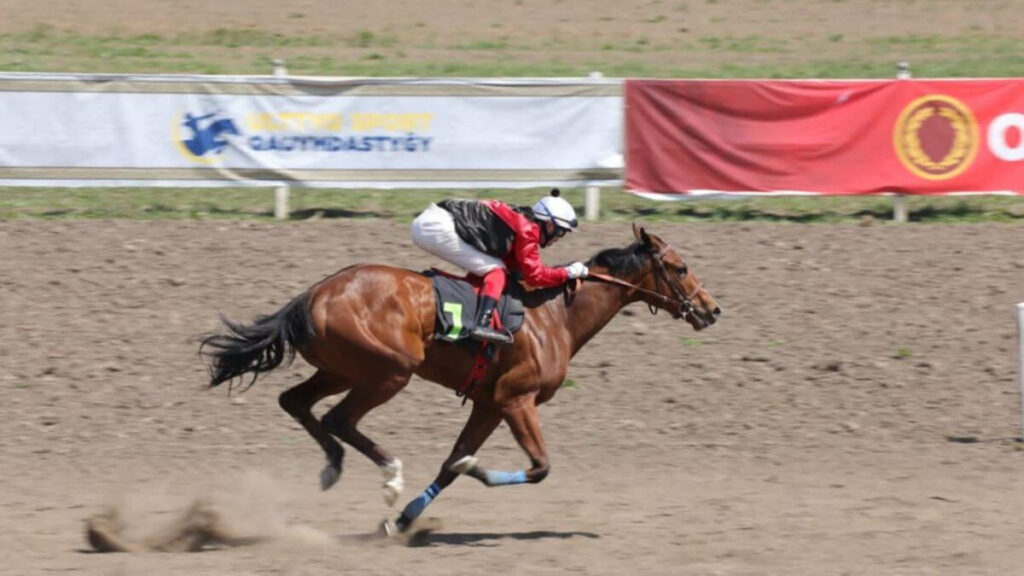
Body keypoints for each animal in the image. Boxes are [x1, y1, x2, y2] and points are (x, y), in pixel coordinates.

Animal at [199, 222, 720, 532]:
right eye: (680, 268)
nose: (712, 310)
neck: (554, 314)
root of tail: (314, 294)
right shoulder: (516, 400)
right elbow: (537, 468)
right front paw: (473, 472)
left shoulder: (490, 404)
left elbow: (451, 466)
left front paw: (404, 521)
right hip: (389, 371)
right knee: (339, 419)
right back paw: (389, 475)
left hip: (338, 367)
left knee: (296, 402)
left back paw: (333, 466)